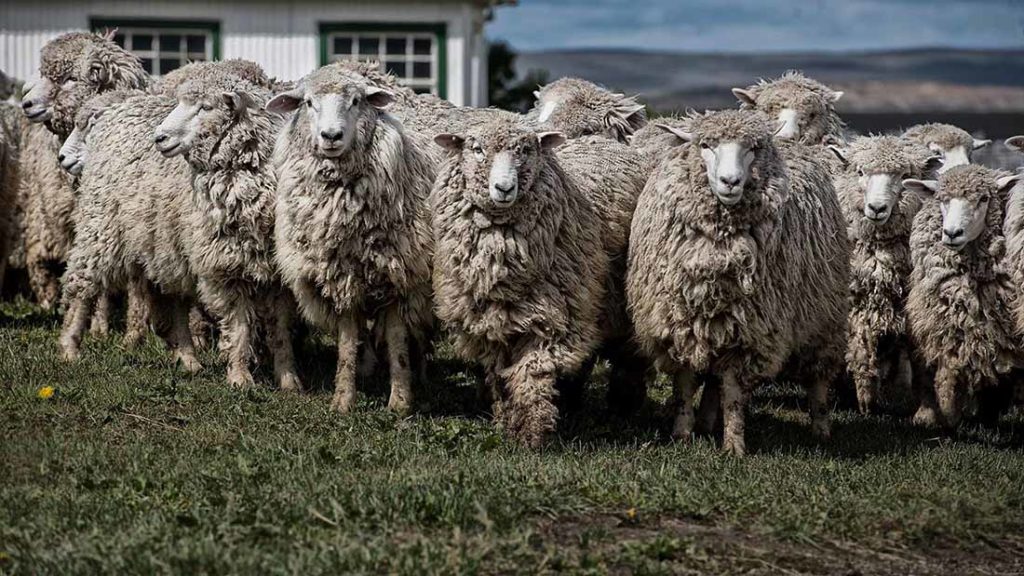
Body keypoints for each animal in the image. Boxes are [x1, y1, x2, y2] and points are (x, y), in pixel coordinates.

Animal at [266, 65, 434, 409]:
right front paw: (343, 400)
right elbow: (346, 342)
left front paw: (400, 402)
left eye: (356, 101)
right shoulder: (340, 276)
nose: (331, 136)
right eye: (308, 102)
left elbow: (397, 342)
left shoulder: (399, 276)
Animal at [626, 109, 851, 455]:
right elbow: (685, 384)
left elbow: (732, 392)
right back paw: (705, 422)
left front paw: (733, 446)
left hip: (824, 316)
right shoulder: (680, 322)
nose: (729, 182)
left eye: (753, 148)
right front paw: (682, 434)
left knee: (818, 378)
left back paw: (821, 428)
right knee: (712, 379)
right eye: (706, 145)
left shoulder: (749, 330)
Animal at [827, 134, 937, 412]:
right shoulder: (856, 307)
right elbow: (860, 350)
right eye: (860, 172)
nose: (876, 208)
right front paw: (865, 400)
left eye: (905, 175)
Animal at [909, 163, 1019, 428]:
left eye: (984, 198)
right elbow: (948, 372)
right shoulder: (947, 327)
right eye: (942, 200)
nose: (952, 233)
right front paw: (949, 417)